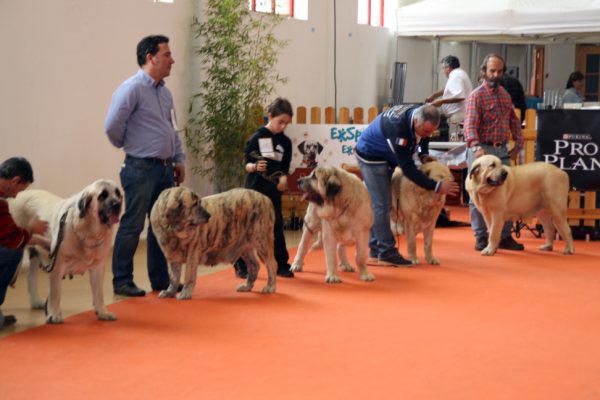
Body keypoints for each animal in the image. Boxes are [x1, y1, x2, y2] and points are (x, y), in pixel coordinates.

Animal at [9, 180, 122, 324]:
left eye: (118, 194)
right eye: (103, 195)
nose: (117, 204)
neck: (89, 230)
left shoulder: (98, 267)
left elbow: (98, 293)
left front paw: (103, 312)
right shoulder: (57, 265)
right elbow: (55, 293)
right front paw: (54, 314)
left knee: (31, 277)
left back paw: (36, 301)